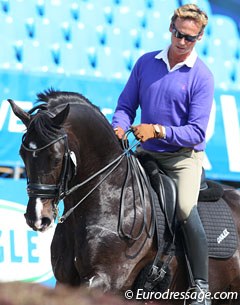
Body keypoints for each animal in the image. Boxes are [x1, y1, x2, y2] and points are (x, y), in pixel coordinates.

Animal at [8, 89, 240, 302]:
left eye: (56, 157)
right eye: (22, 154)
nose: (37, 217)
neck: (110, 194)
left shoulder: (104, 279)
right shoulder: (65, 281)